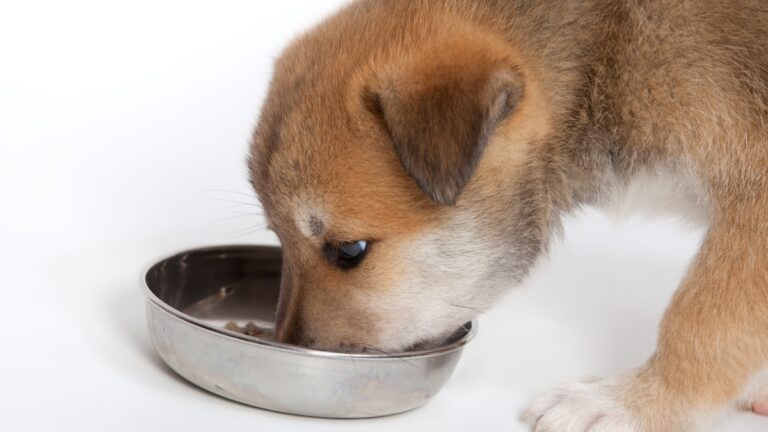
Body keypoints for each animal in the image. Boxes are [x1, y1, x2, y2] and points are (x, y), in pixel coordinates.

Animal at [249, 0, 764, 430]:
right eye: (278, 238)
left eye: (350, 250)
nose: (290, 350)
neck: (609, 49)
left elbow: (703, 322)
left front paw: (628, 405)